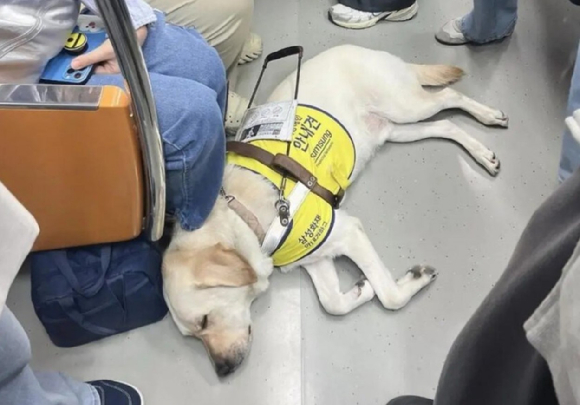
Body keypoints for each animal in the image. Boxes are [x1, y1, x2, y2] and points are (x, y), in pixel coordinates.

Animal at [161, 44, 506, 376]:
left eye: (204, 321)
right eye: (194, 335)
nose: (222, 370)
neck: (242, 215)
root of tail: (361, 48)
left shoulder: (347, 231)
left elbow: (390, 297)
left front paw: (410, 280)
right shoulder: (314, 251)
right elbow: (332, 302)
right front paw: (362, 288)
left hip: (405, 106)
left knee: (449, 96)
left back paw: (489, 116)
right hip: (395, 129)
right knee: (445, 125)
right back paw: (482, 153)